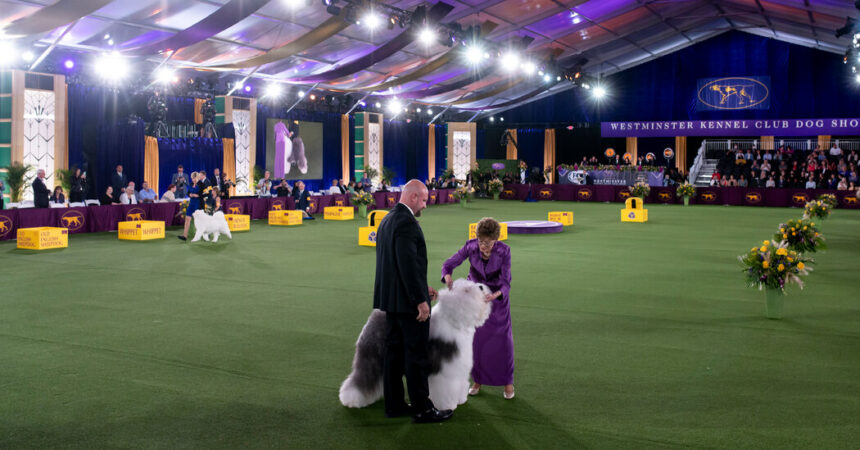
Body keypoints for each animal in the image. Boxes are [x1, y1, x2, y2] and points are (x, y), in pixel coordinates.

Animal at [340, 280, 494, 414]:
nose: (481, 286)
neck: (455, 321)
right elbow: (445, 388)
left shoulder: (459, 368)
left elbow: (460, 383)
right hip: (372, 357)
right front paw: (447, 405)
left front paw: (461, 399)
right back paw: (351, 399)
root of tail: (374, 316)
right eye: (467, 290)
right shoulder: (444, 370)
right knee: (362, 378)